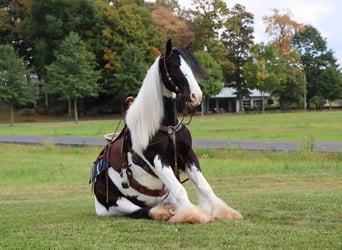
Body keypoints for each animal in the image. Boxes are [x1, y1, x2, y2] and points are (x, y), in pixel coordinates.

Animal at [89, 40, 242, 224]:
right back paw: (162, 212)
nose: (196, 96)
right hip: (116, 203)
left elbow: (205, 186)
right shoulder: (157, 159)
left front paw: (225, 212)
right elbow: (180, 190)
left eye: (191, 67)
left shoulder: (187, 155)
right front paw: (193, 215)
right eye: (174, 66)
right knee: (141, 210)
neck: (167, 127)